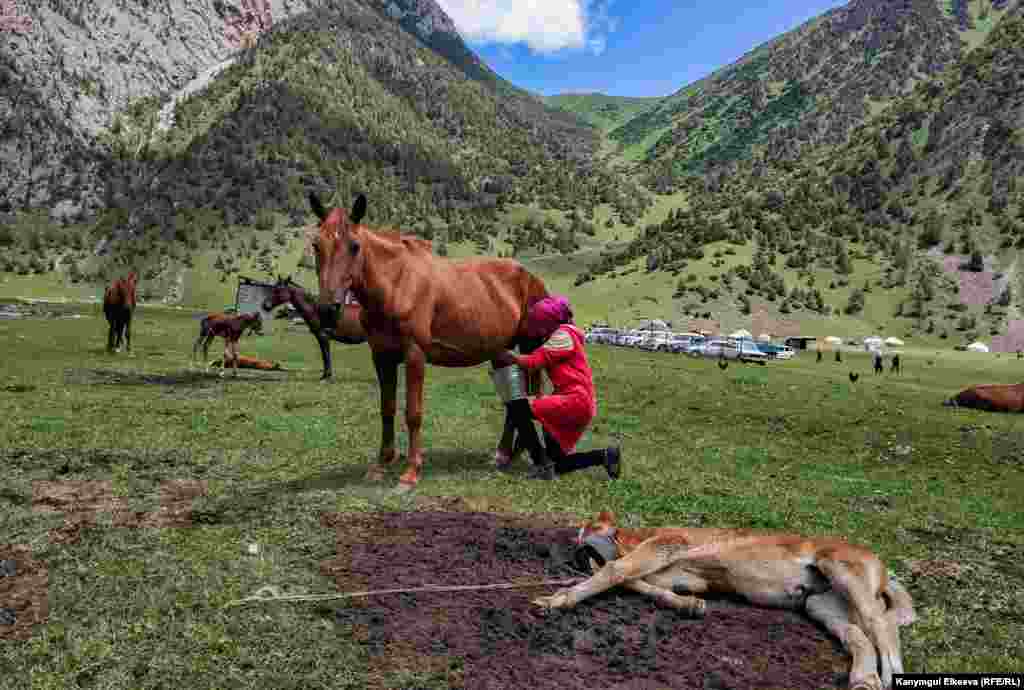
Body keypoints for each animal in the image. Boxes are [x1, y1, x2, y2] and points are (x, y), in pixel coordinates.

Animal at [309, 190, 552, 487]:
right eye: (316, 244)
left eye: (354, 246)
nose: (327, 309)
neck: (397, 285)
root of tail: (531, 278)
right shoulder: (381, 356)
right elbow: (387, 409)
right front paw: (381, 464)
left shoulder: (415, 354)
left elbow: (413, 413)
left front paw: (411, 471)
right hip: (502, 352)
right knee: (513, 402)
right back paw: (503, 454)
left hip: (529, 345)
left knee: (530, 396)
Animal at [536, 507, 921, 683]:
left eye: (588, 527)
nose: (574, 550)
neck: (633, 539)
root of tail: (880, 564)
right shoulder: (683, 577)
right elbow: (637, 582)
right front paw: (688, 605)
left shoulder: (667, 544)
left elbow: (614, 571)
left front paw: (558, 599)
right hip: (821, 604)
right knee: (860, 636)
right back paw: (864, 680)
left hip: (842, 572)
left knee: (882, 626)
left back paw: (884, 678)